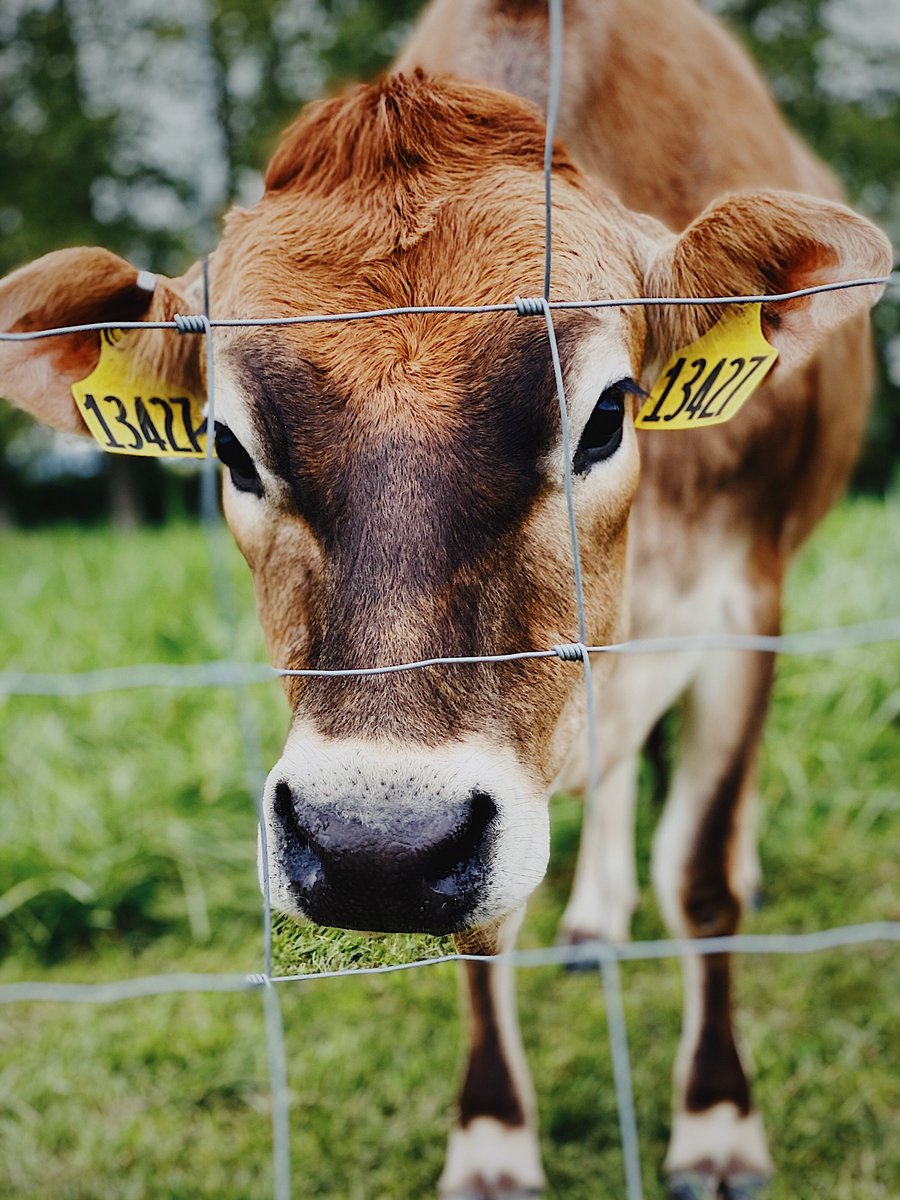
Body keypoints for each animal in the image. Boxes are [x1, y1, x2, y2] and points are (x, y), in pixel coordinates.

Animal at [0, 2, 888, 1200]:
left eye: (609, 414)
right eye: (229, 448)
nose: (375, 846)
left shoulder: (744, 605)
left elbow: (700, 880)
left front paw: (716, 1121)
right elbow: (483, 927)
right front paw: (492, 1139)